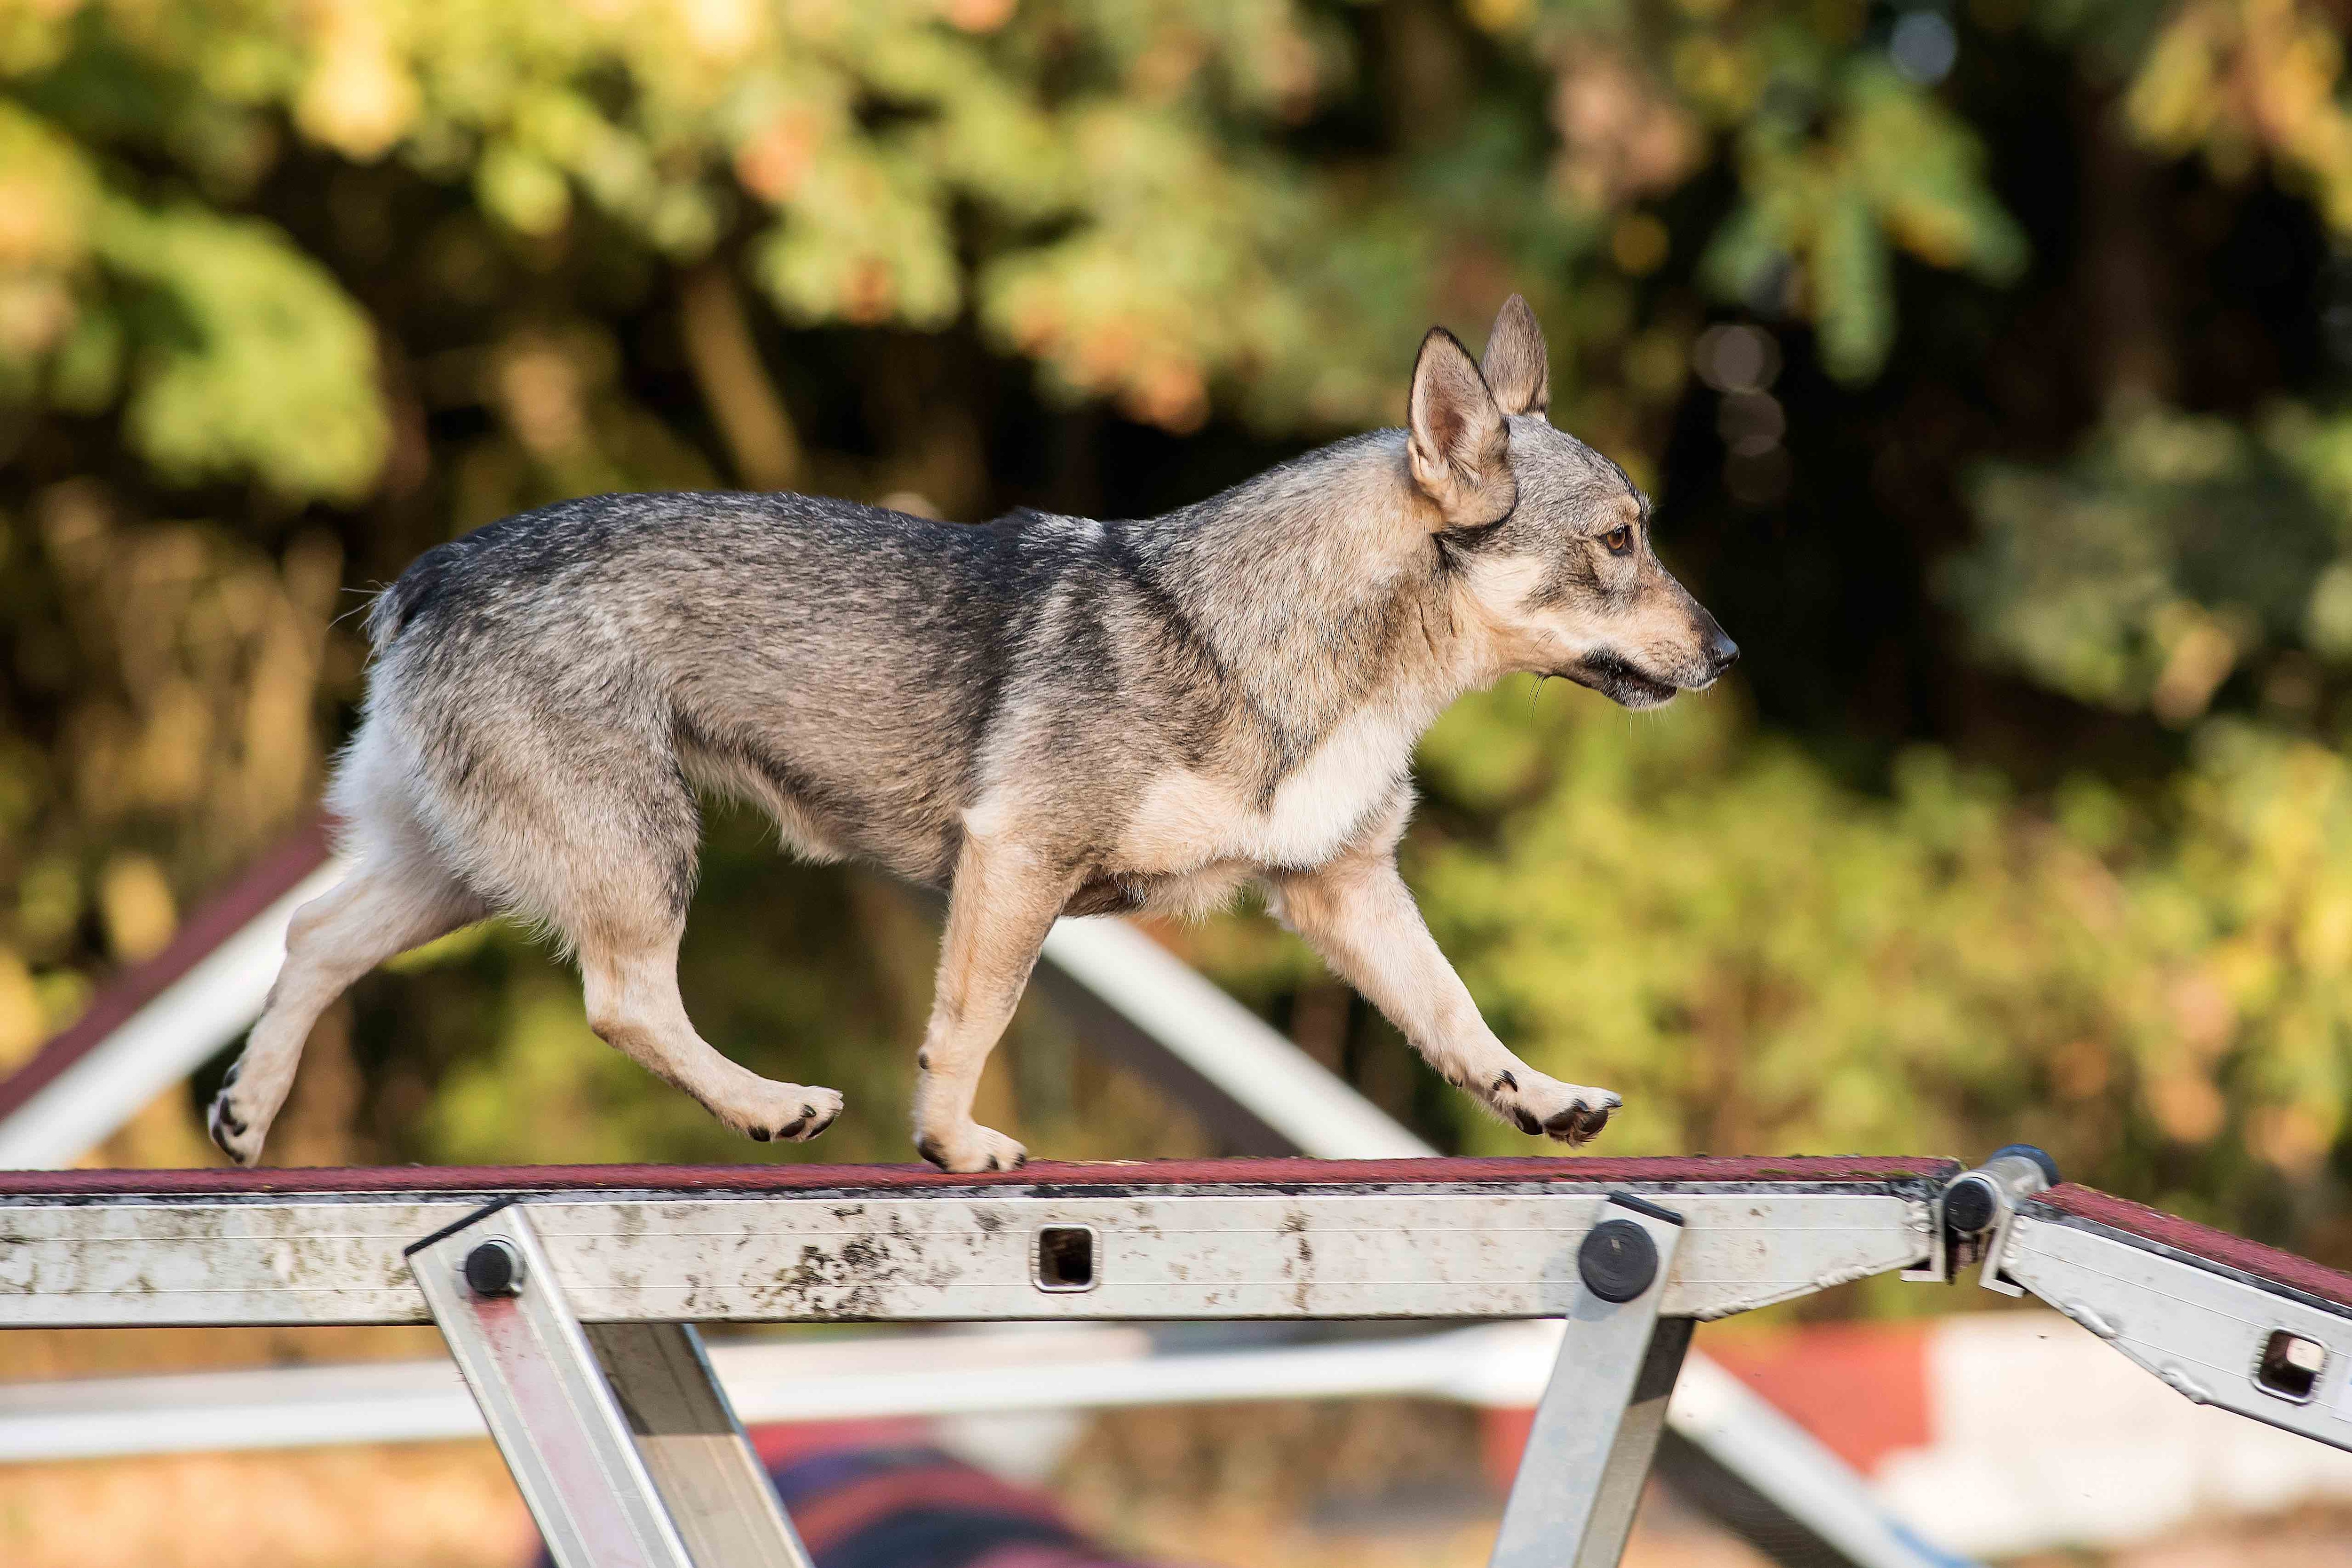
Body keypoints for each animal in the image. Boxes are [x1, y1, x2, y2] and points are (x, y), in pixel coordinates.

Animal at [212, 301, 1740, 1171]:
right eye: (1619, 542)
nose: (1728, 654)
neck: (1285, 643)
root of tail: (429, 574)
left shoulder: (1345, 891)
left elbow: (1455, 1014)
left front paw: (1539, 1100)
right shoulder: (1016, 865)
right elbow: (968, 1027)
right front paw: (950, 1147)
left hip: (470, 865)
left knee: (315, 938)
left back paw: (246, 1114)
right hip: (634, 850)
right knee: (624, 1000)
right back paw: (765, 1106)